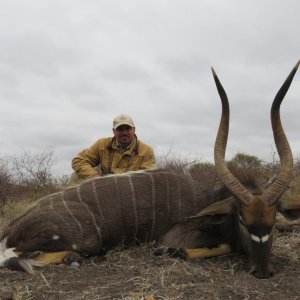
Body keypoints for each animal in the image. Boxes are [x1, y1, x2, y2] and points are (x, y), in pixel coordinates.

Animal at [0, 61, 298, 278]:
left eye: (272, 221)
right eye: (242, 221)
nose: (263, 271)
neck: (208, 197)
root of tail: (12, 227)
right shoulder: (174, 236)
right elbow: (200, 247)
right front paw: (171, 253)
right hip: (86, 239)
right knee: (14, 257)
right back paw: (71, 258)